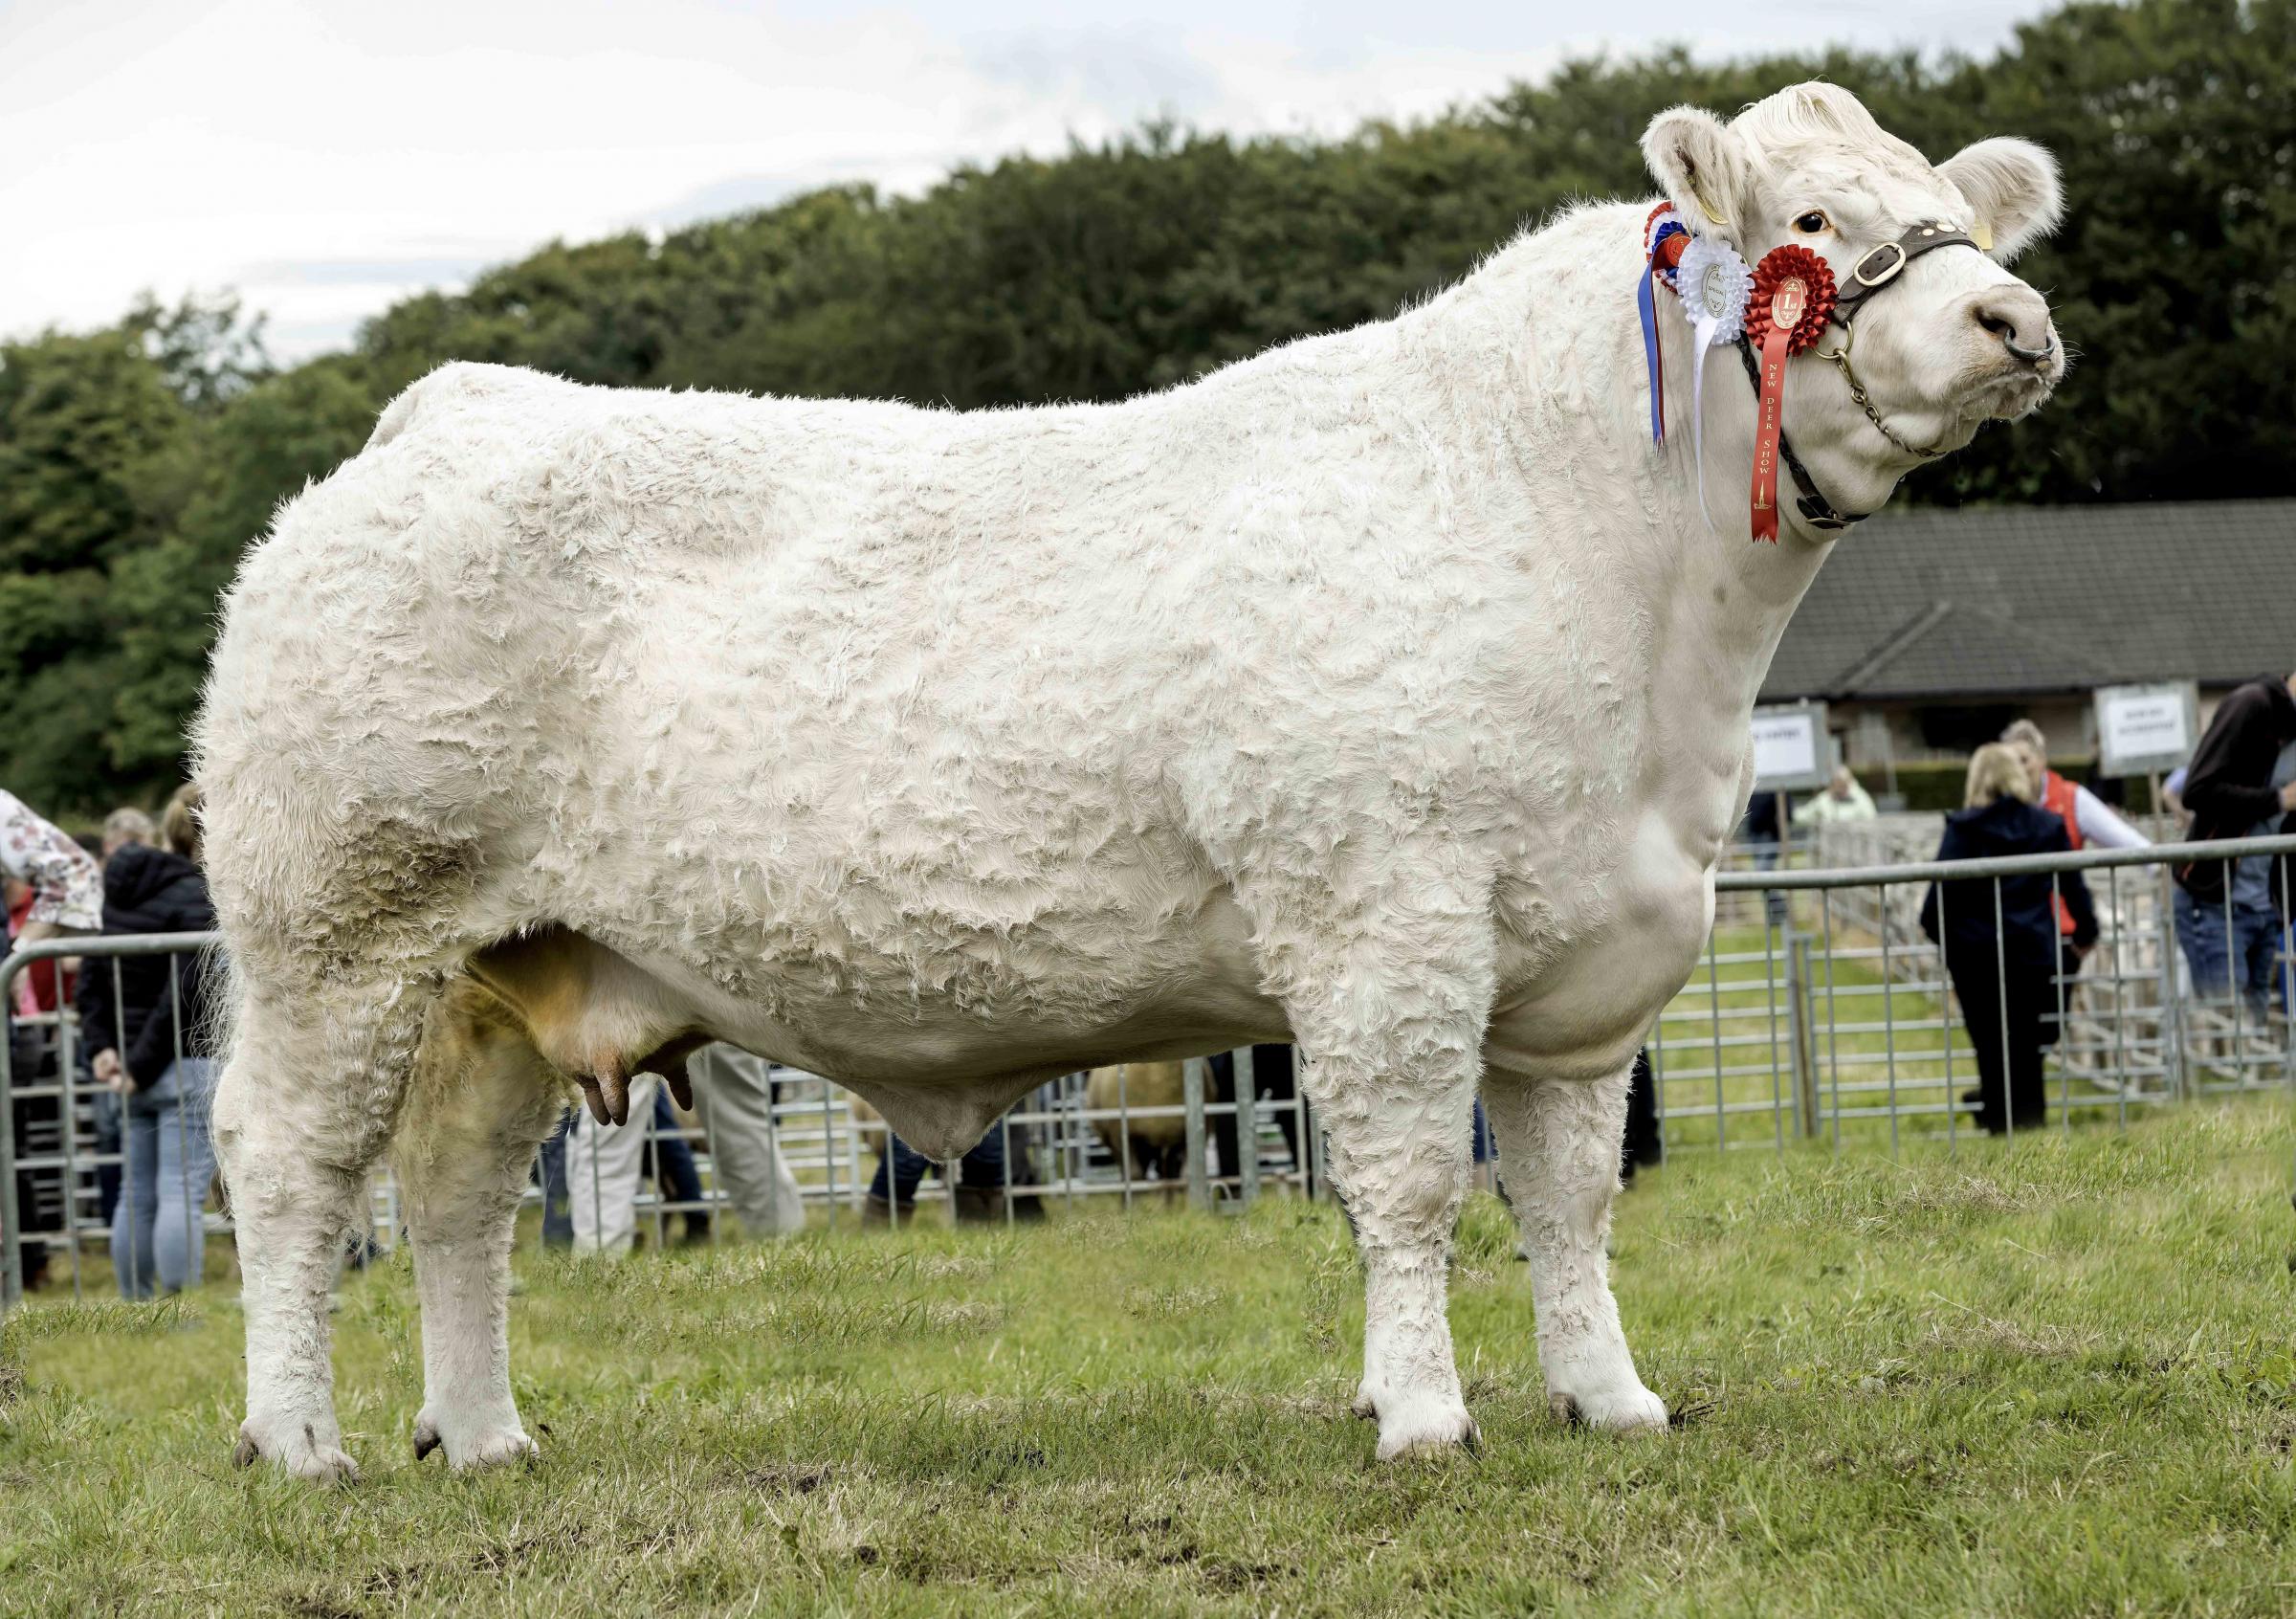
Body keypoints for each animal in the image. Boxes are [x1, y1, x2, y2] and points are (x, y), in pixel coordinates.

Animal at [197, 84, 2066, 1478]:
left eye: (1952, 209)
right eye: (1809, 224)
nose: (2015, 317)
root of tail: (450, 411)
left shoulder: (1588, 954)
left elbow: (1570, 1193)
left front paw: (1610, 1399)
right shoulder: (1382, 922)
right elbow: (1407, 1180)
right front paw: (1424, 1416)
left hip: (505, 964)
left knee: (454, 1195)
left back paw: (485, 1433)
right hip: (335, 931)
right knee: (287, 1171)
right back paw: (302, 1444)